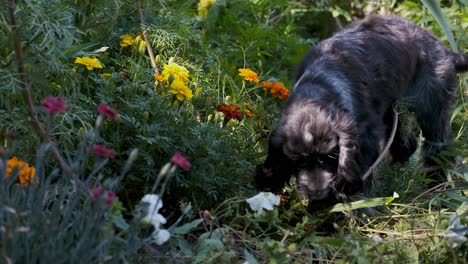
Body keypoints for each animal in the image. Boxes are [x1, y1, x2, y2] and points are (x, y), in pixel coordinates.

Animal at [256, 14, 468, 211]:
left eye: (330, 159)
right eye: (298, 162)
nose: (318, 195)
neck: (320, 84)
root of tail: (444, 49)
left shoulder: (364, 139)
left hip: (432, 107)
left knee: (438, 149)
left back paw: (435, 187)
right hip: (394, 112)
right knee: (406, 146)